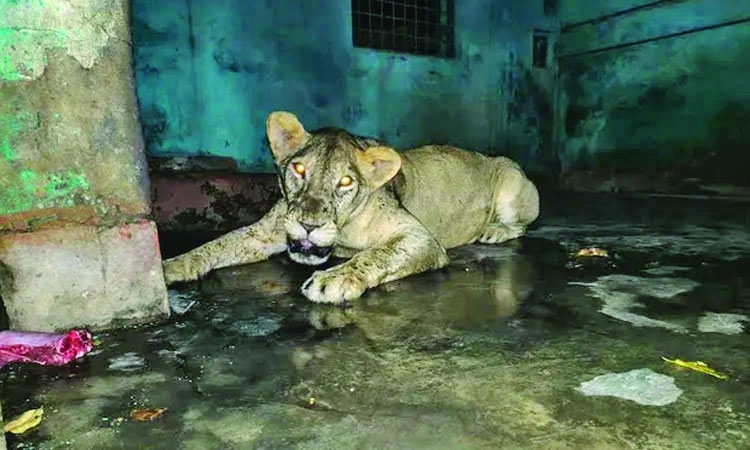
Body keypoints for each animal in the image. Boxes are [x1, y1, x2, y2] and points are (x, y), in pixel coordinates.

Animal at [163, 111, 539, 304]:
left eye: (345, 181)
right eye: (299, 169)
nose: (309, 226)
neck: (343, 231)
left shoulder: (421, 238)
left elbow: (375, 255)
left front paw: (334, 279)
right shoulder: (265, 232)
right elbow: (219, 243)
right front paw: (171, 266)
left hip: (510, 180)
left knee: (522, 224)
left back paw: (494, 231)